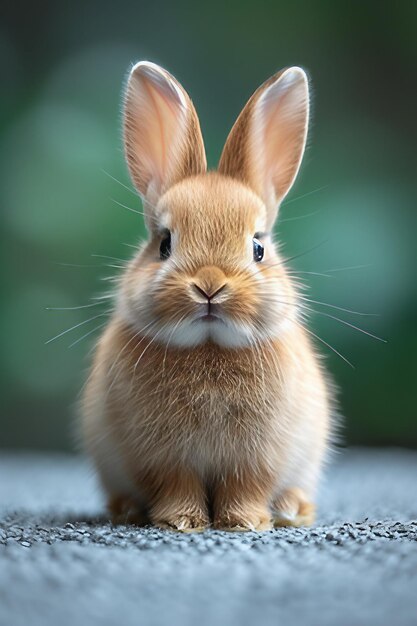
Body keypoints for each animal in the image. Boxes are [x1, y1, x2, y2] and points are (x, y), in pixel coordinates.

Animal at [81, 61, 332, 528]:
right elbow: (176, 485)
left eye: (258, 247)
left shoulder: (255, 458)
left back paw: (292, 509)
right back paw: (126, 510)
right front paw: (180, 521)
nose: (210, 286)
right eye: (164, 244)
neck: (209, 347)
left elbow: (245, 487)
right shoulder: (164, 458)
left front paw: (244, 522)